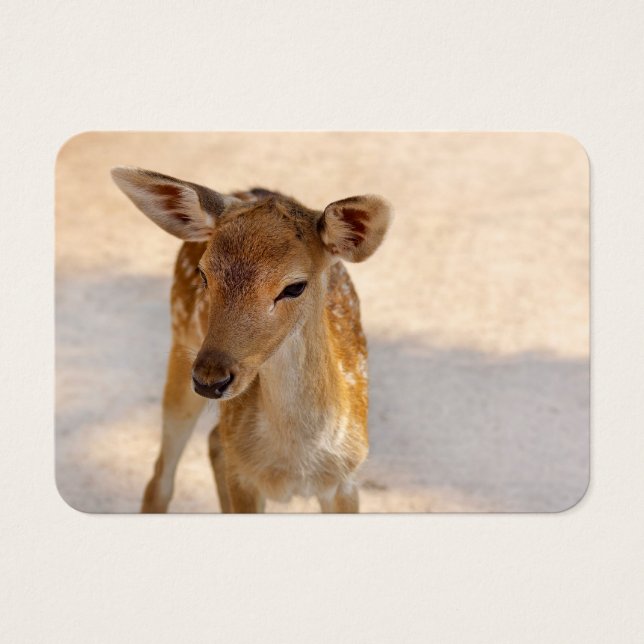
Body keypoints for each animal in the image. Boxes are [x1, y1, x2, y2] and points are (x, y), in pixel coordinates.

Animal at [111, 166, 392, 513]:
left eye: (294, 287)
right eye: (204, 274)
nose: (210, 379)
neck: (295, 464)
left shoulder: (346, 480)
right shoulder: (244, 479)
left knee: (214, 441)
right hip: (180, 344)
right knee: (161, 478)